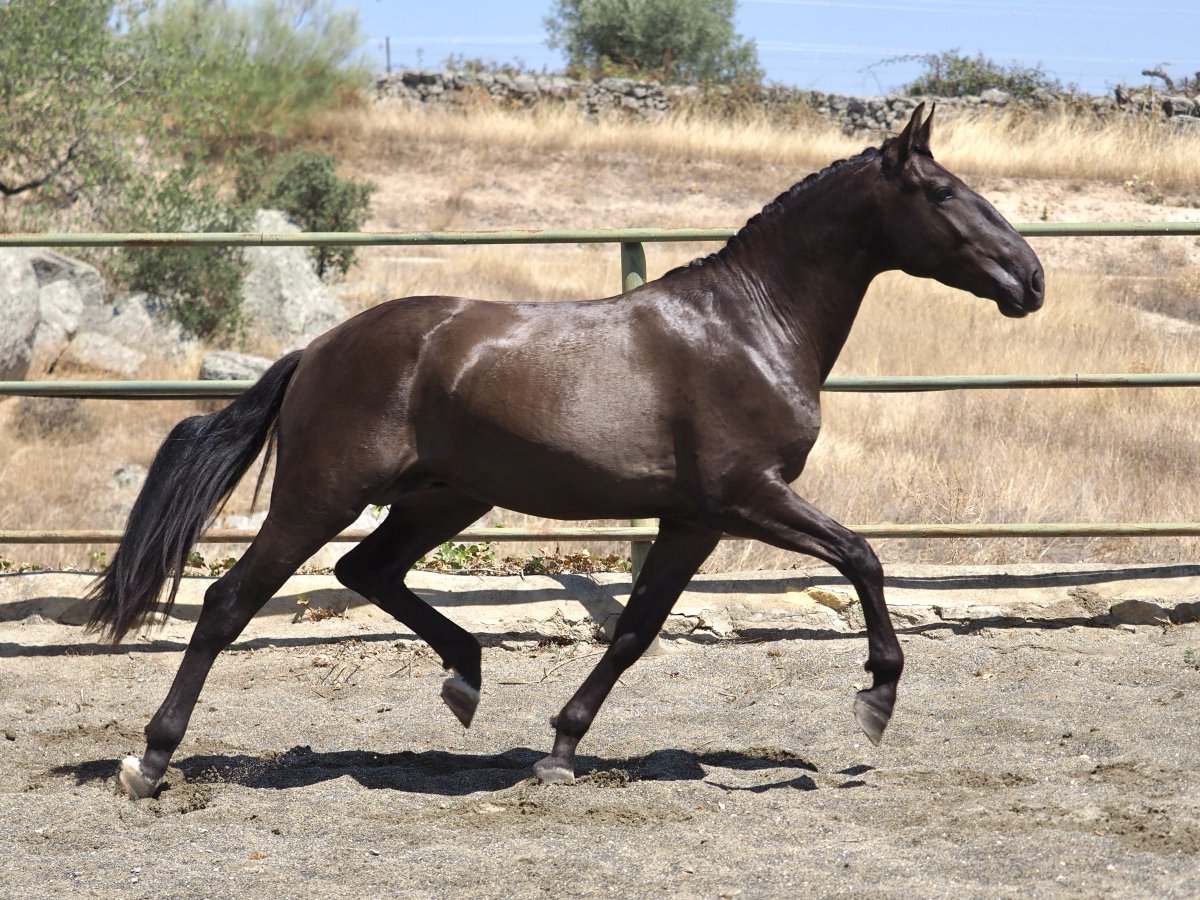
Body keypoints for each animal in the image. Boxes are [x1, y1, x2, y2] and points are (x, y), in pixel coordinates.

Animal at [88, 105, 1044, 798]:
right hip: (323, 495)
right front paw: (876, 697)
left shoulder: (693, 520)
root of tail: (317, 349)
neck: (749, 327)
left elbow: (634, 631)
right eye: (944, 193)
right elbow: (864, 557)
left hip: (446, 495)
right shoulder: (749, 498)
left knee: (368, 571)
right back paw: (150, 762)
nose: (1030, 279)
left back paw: (466, 679)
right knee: (230, 602)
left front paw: (559, 749)